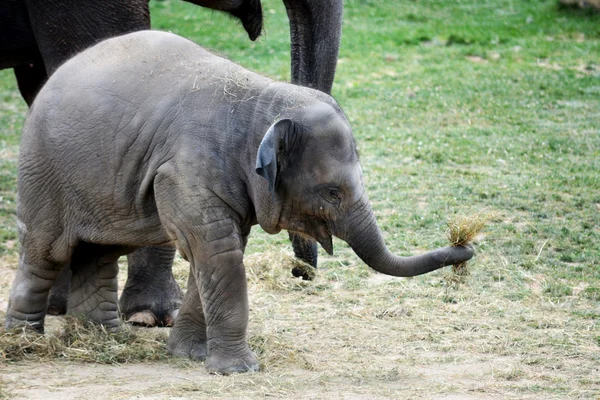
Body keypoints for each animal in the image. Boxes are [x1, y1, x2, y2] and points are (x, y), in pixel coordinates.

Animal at [5, 31, 474, 376]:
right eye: (332, 193)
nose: (466, 246)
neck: (261, 103)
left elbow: (214, 255)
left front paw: (190, 356)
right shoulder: (187, 171)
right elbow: (218, 253)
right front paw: (239, 371)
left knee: (100, 252)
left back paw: (105, 338)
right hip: (42, 171)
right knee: (46, 253)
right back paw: (23, 343)